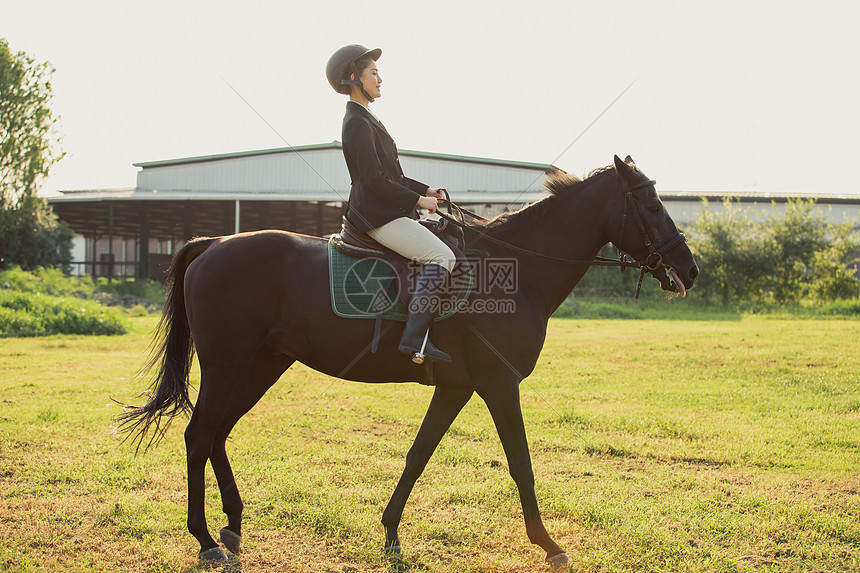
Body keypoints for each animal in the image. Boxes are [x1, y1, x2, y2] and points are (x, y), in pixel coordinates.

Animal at [121, 155, 700, 564]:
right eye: (651, 206)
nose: (690, 269)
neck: (513, 272)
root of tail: (215, 241)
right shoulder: (498, 383)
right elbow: (521, 463)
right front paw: (548, 543)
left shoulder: (457, 387)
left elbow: (418, 455)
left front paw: (391, 532)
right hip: (228, 365)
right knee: (199, 435)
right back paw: (204, 539)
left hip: (261, 366)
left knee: (218, 432)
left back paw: (233, 525)